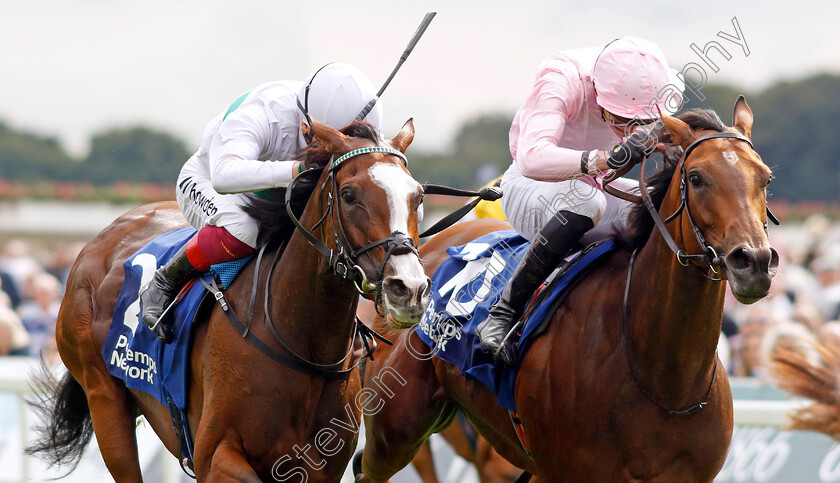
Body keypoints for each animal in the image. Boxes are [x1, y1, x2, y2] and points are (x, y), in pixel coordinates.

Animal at [27, 118, 434, 483]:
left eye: (418, 196)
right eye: (349, 194)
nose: (408, 288)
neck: (302, 343)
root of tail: (98, 242)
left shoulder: (322, 466)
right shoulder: (215, 454)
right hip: (104, 398)